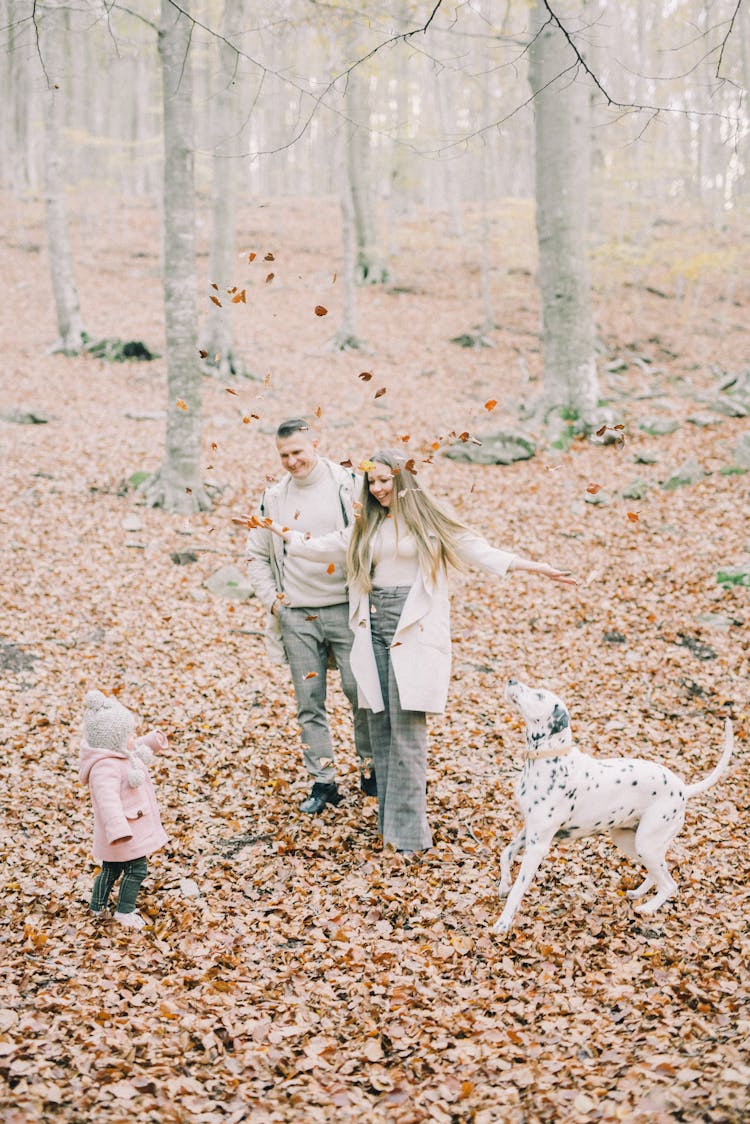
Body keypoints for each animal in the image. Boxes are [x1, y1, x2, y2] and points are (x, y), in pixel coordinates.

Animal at [492, 678, 733, 935]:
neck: (549, 759)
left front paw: (503, 922)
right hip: (631, 841)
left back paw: (648, 908)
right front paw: (504, 884)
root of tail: (683, 789)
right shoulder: (528, 830)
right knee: (658, 872)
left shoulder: (538, 846)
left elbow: (518, 890)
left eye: (538, 695)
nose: (511, 680)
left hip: (646, 844)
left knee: (669, 884)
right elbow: (505, 854)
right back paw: (639, 893)